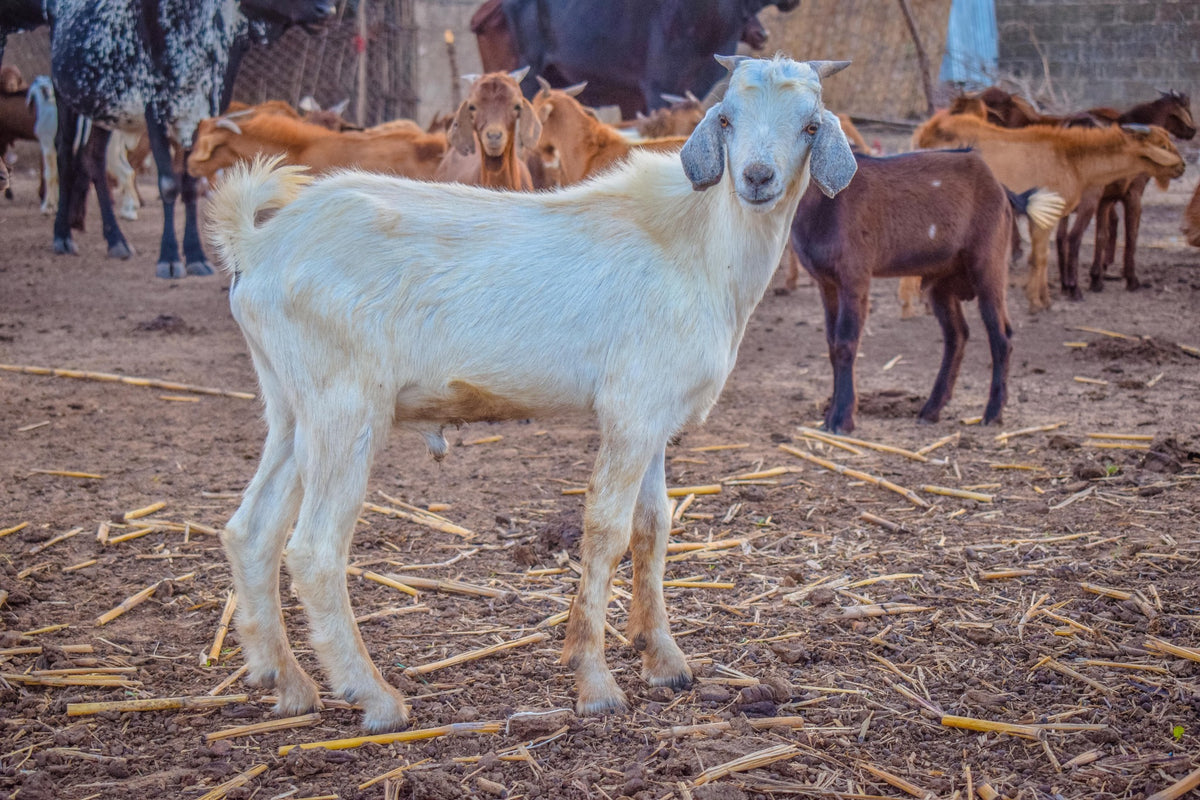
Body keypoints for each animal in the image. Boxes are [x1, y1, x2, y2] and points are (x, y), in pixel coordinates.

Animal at [791, 149, 1064, 434]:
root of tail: (1000, 187)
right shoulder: (826, 283)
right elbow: (832, 345)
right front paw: (828, 418)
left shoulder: (854, 277)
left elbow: (845, 344)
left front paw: (841, 420)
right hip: (942, 281)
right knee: (957, 335)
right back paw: (931, 409)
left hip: (989, 265)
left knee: (1001, 337)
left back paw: (992, 413)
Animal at [912, 111, 1185, 310]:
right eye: (1162, 144)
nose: (1182, 166)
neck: (1071, 158)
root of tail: (927, 132)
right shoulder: (1045, 217)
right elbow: (1041, 258)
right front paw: (1038, 300)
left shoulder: (1049, 217)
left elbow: (1043, 255)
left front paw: (1043, 297)